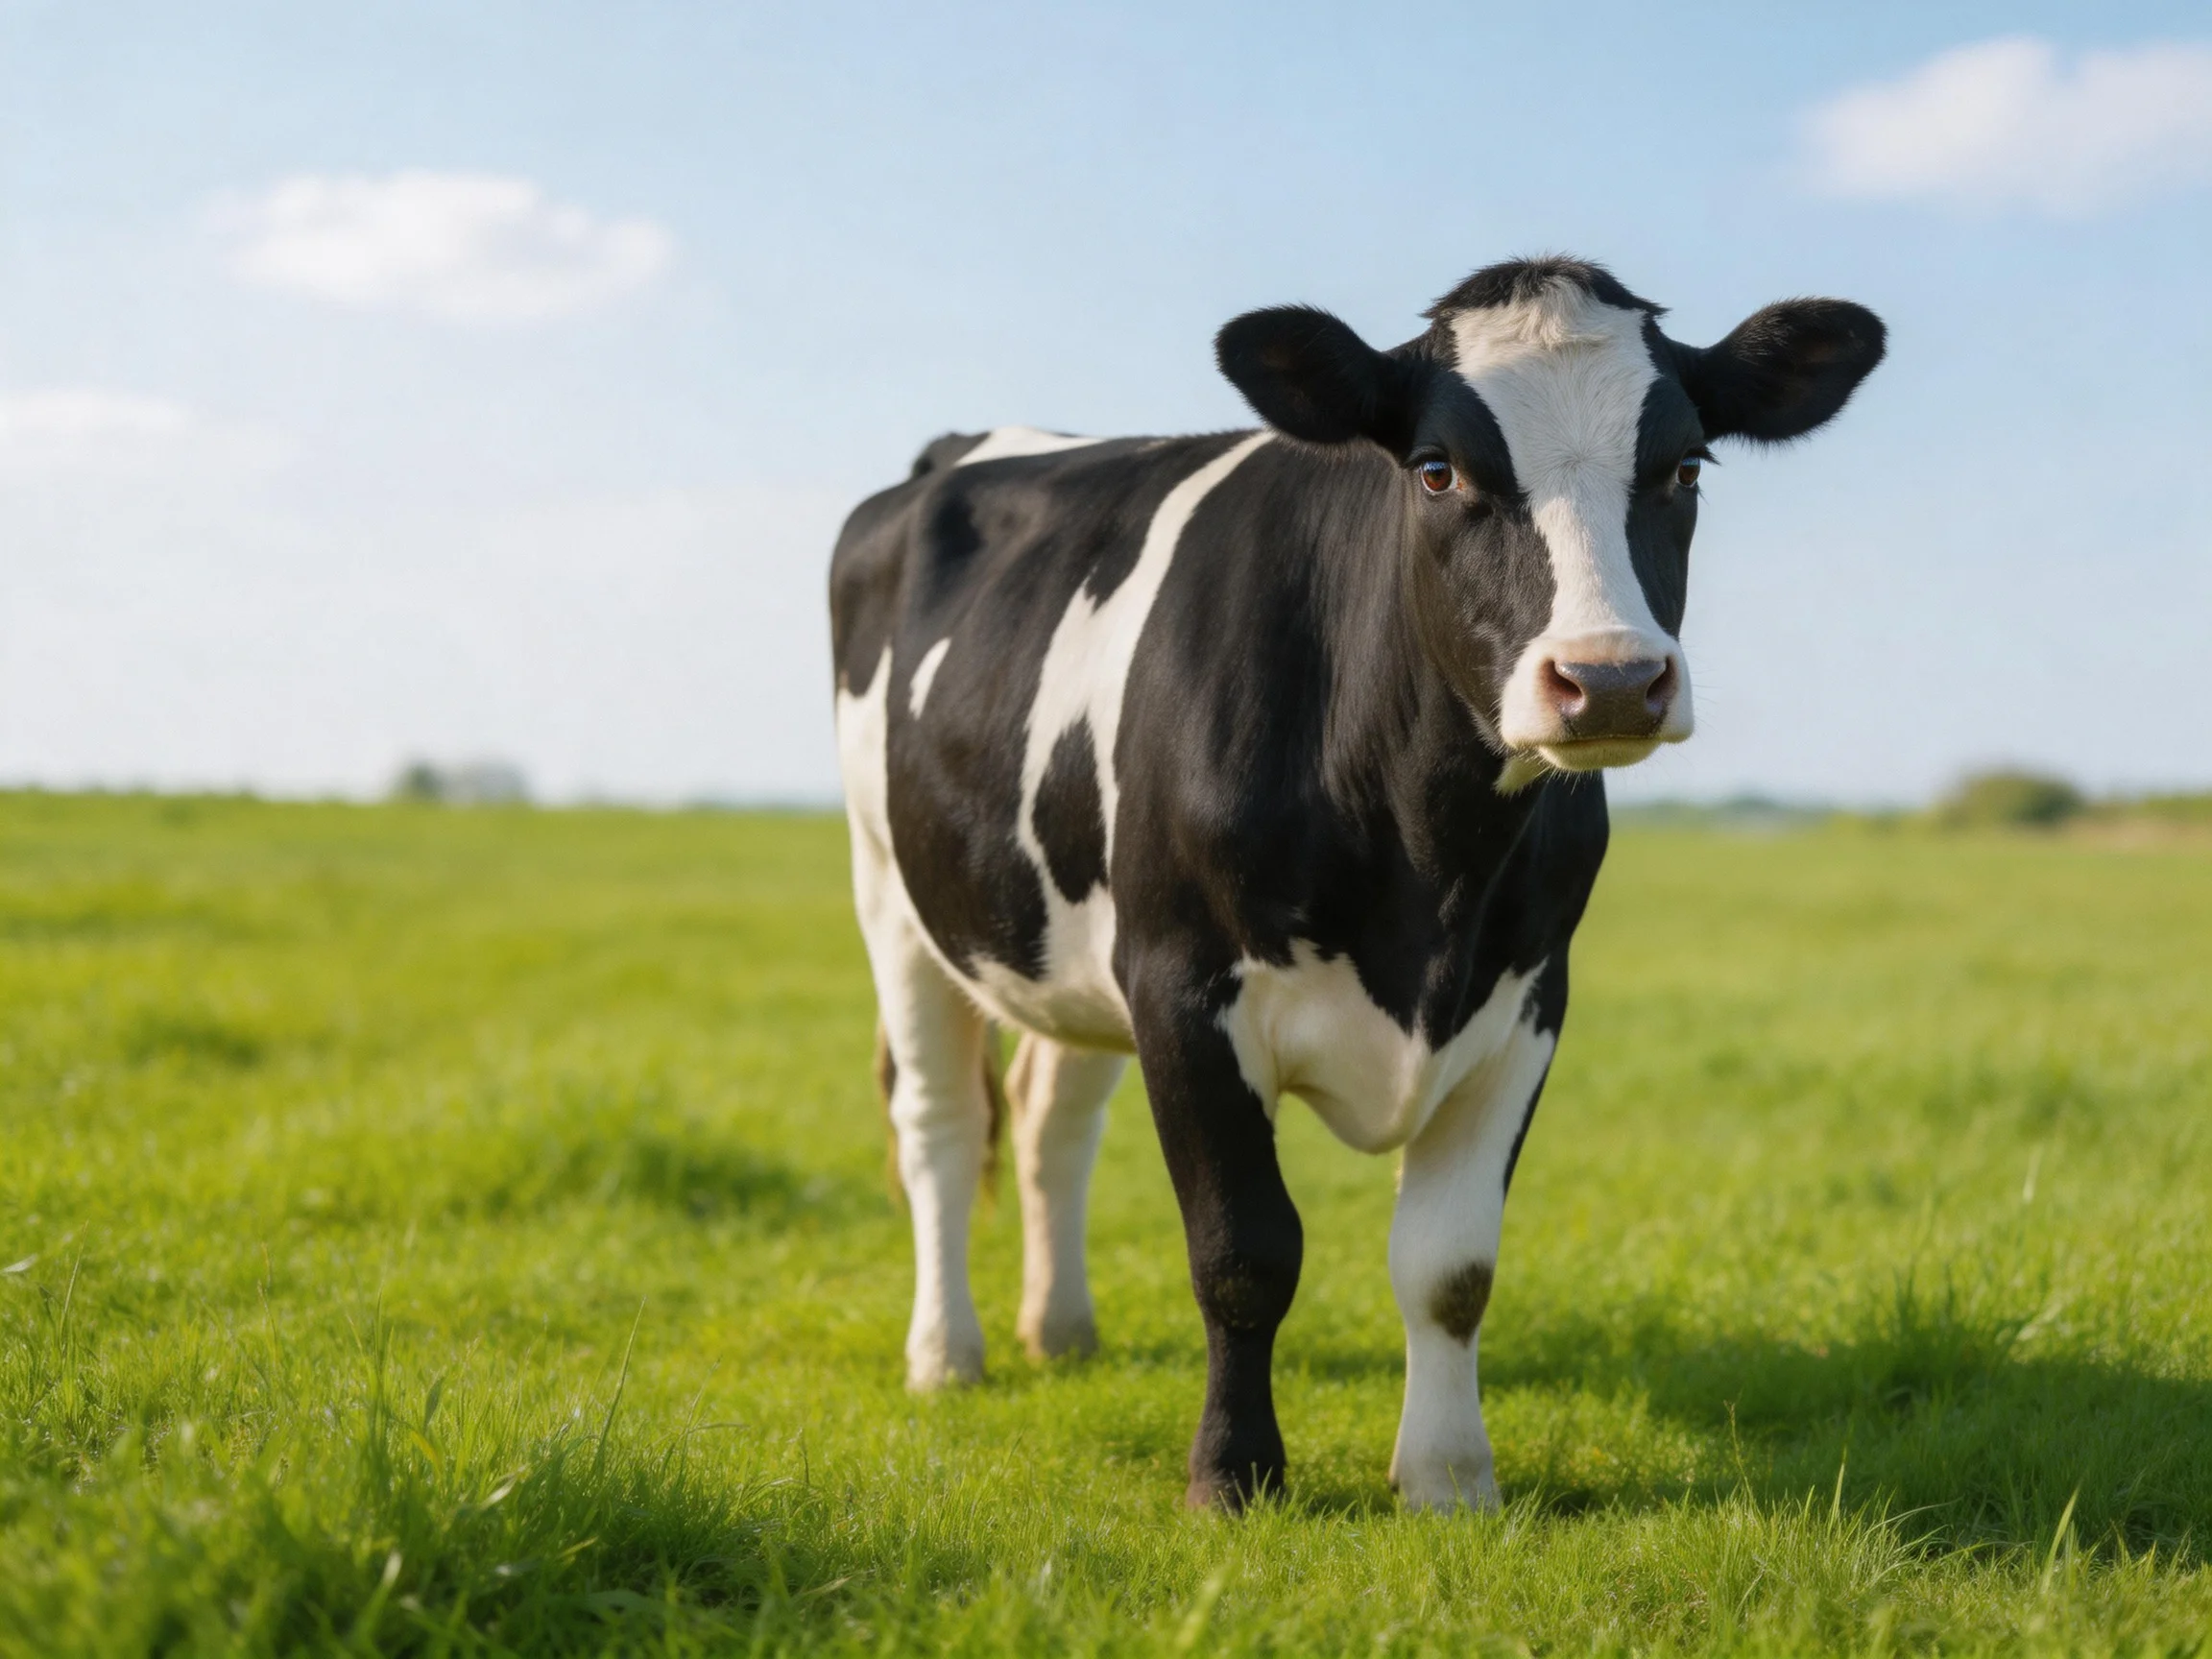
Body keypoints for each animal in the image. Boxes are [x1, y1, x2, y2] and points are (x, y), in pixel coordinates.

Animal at [829, 256, 1884, 1511]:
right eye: (1437, 469)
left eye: (1684, 467)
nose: (1612, 679)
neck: (1427, 870)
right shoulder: (1183, 986)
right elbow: (1243, 1252)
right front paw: (1233, 1476)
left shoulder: (1527, 1001)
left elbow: (1450, 1266)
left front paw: (1448, 1479)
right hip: (892, 889)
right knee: (938, 1123)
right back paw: (949, 1355)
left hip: (1069, 935)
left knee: (1050, 1118)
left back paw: (1063, 1331)